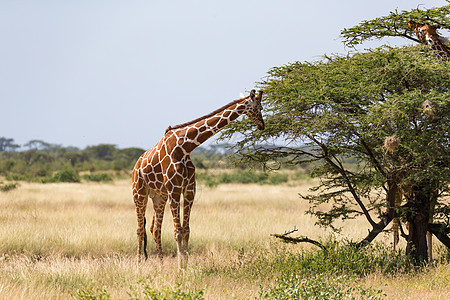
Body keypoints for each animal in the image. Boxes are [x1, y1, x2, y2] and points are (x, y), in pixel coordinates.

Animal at [130, 90, 264, 268]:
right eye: (258, 107)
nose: (262, 125)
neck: (185, 147)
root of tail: (136, 166)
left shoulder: (188, 190)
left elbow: (186, 230)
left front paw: (186, 266)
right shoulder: (174, 190)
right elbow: (177, 231)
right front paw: (180, 268)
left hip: (159, 196)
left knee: (155, 229)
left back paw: (161, 265)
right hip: (139, 193)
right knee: (140, 229)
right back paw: (138, 264)